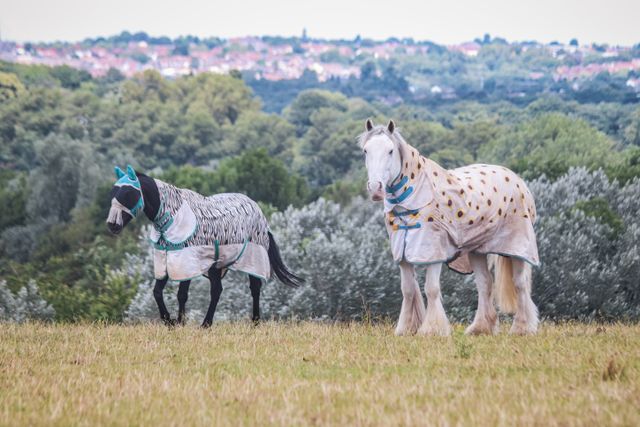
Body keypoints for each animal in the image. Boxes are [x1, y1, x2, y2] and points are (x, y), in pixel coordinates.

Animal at [106, 165, 302, 327]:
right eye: (113, 192)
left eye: (128, 193)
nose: (112, 225)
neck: (173, 217)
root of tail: (258, 210)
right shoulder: (165, 259)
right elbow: (157, 292)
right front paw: (170, 320)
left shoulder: (186, 261)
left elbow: (181, 294)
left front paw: (178, 322)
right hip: (216, 266)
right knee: (217, 291)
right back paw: (207, 323)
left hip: (252, 259)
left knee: (254, 289)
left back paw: (253, 322)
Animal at [359, 119, 540, 336]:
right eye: (366, 150)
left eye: (390, 150)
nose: (375, 188)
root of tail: (517, 180)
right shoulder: (402, 254)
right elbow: (408, 290)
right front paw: (406, 329)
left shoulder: (434, 251)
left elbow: (431, 289)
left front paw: (432, 330)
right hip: (477, 251)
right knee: (485, 284)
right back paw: (481, 328)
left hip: (517, 248)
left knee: (520, 284)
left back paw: (522, 328)